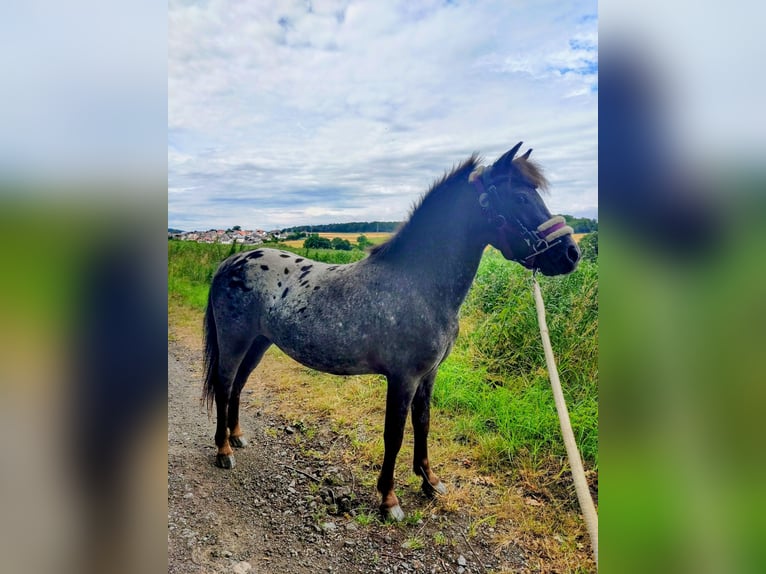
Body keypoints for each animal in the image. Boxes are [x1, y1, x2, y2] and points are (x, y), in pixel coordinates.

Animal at [202, 142, 580, 521]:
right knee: (224, 385)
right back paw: (223, 451)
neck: (416, 284)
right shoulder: (403, 378)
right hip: (235, 340)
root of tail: (231, 262)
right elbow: (394, 434)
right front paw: (389, 500)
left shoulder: (428, 375)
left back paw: (237, 436)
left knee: (238, 386)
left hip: (259, 343)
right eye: (519, 197)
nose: (570, 254)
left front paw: (430, 482)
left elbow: (423, 423)